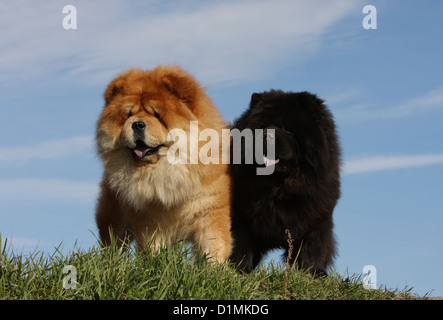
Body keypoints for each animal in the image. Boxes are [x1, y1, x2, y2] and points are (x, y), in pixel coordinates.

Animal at [231, 90, 342, 276]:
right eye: (261, 127)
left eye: (287, 129)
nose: (266, 135)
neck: (279, 189)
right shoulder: (239, 216)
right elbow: (240, 244)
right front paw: (238, 268)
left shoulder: (317, 220)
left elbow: (313, 248)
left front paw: (314, 273)